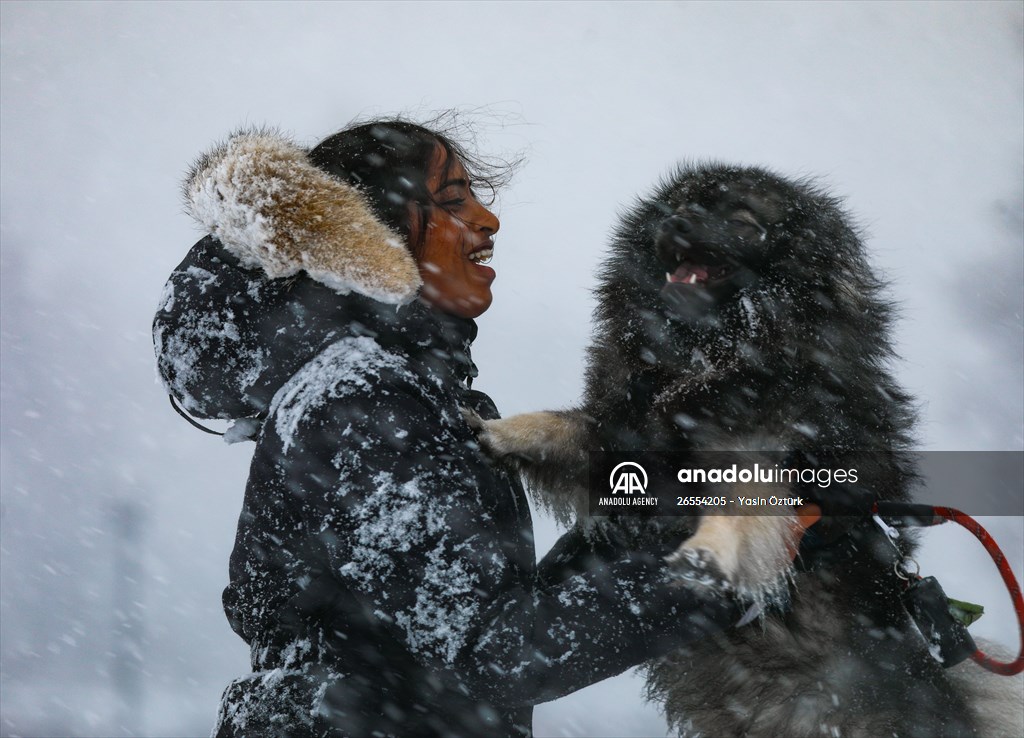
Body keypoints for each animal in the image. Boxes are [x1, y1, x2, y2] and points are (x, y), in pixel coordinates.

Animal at [475, 163, 1019, 732]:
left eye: (741, 221)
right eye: (679, 205)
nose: (677, 222)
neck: (702, 365)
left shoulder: (763, 455)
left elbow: (739, 511)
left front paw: (706, 556)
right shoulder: (620, 428)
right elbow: (560, 427)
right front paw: (498, 431)